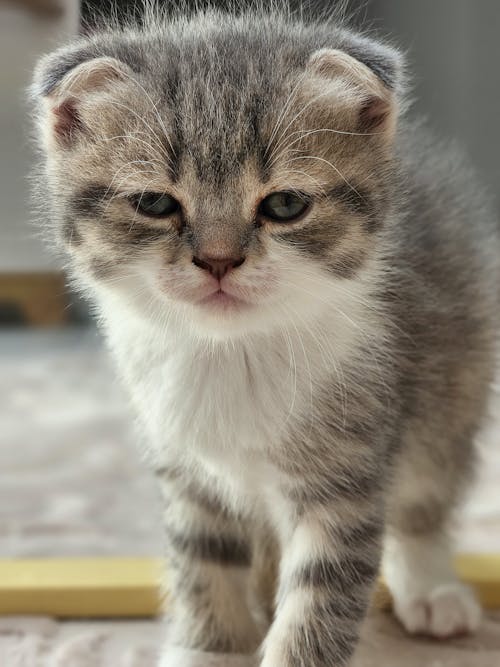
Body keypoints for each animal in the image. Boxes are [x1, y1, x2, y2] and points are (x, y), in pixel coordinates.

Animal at [33, 5, 498, 667]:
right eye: (153, 203)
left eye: (284, 205)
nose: (219, 259)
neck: (235, 354)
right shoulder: (186, 469)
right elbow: (203, 564)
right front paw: (211, 648)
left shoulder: (348, 471)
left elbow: (320, 593)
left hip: (453, 382)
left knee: (425, 495)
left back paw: (431, 586)